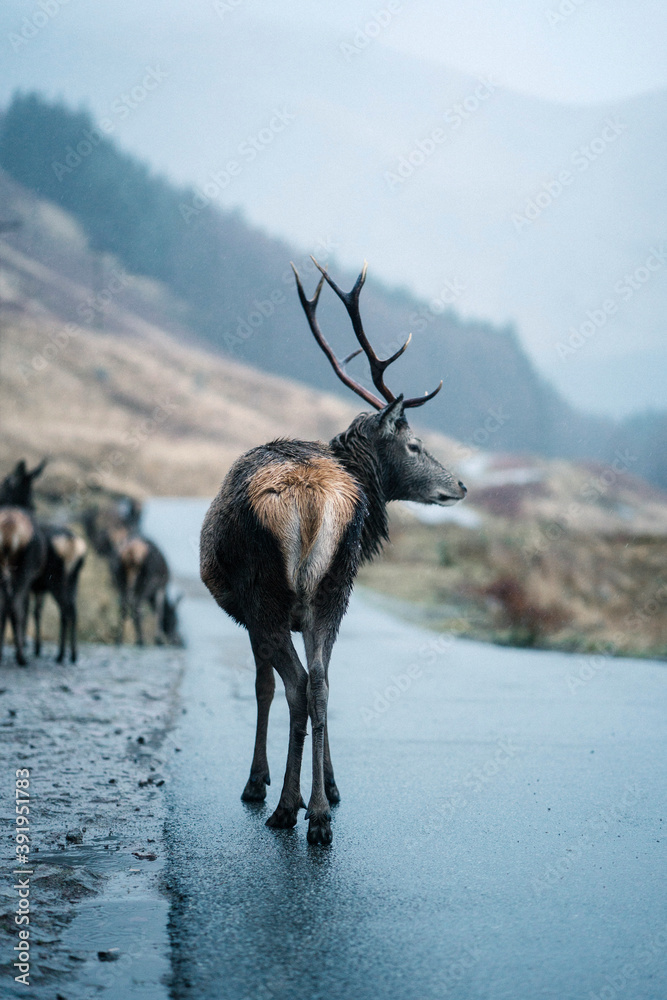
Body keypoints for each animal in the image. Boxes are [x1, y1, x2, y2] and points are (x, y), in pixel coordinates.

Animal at [201, 260, 468, 844]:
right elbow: (319, 682)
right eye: (414, 445)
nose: (460, 484)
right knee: (318, 684)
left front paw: (261, 781)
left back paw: (288, 807)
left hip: (266, 594)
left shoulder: (255, 615)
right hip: (330, 590)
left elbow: (264, 687)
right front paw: (331, 788)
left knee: (299, 685)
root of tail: (311, 496)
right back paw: (318, 814)